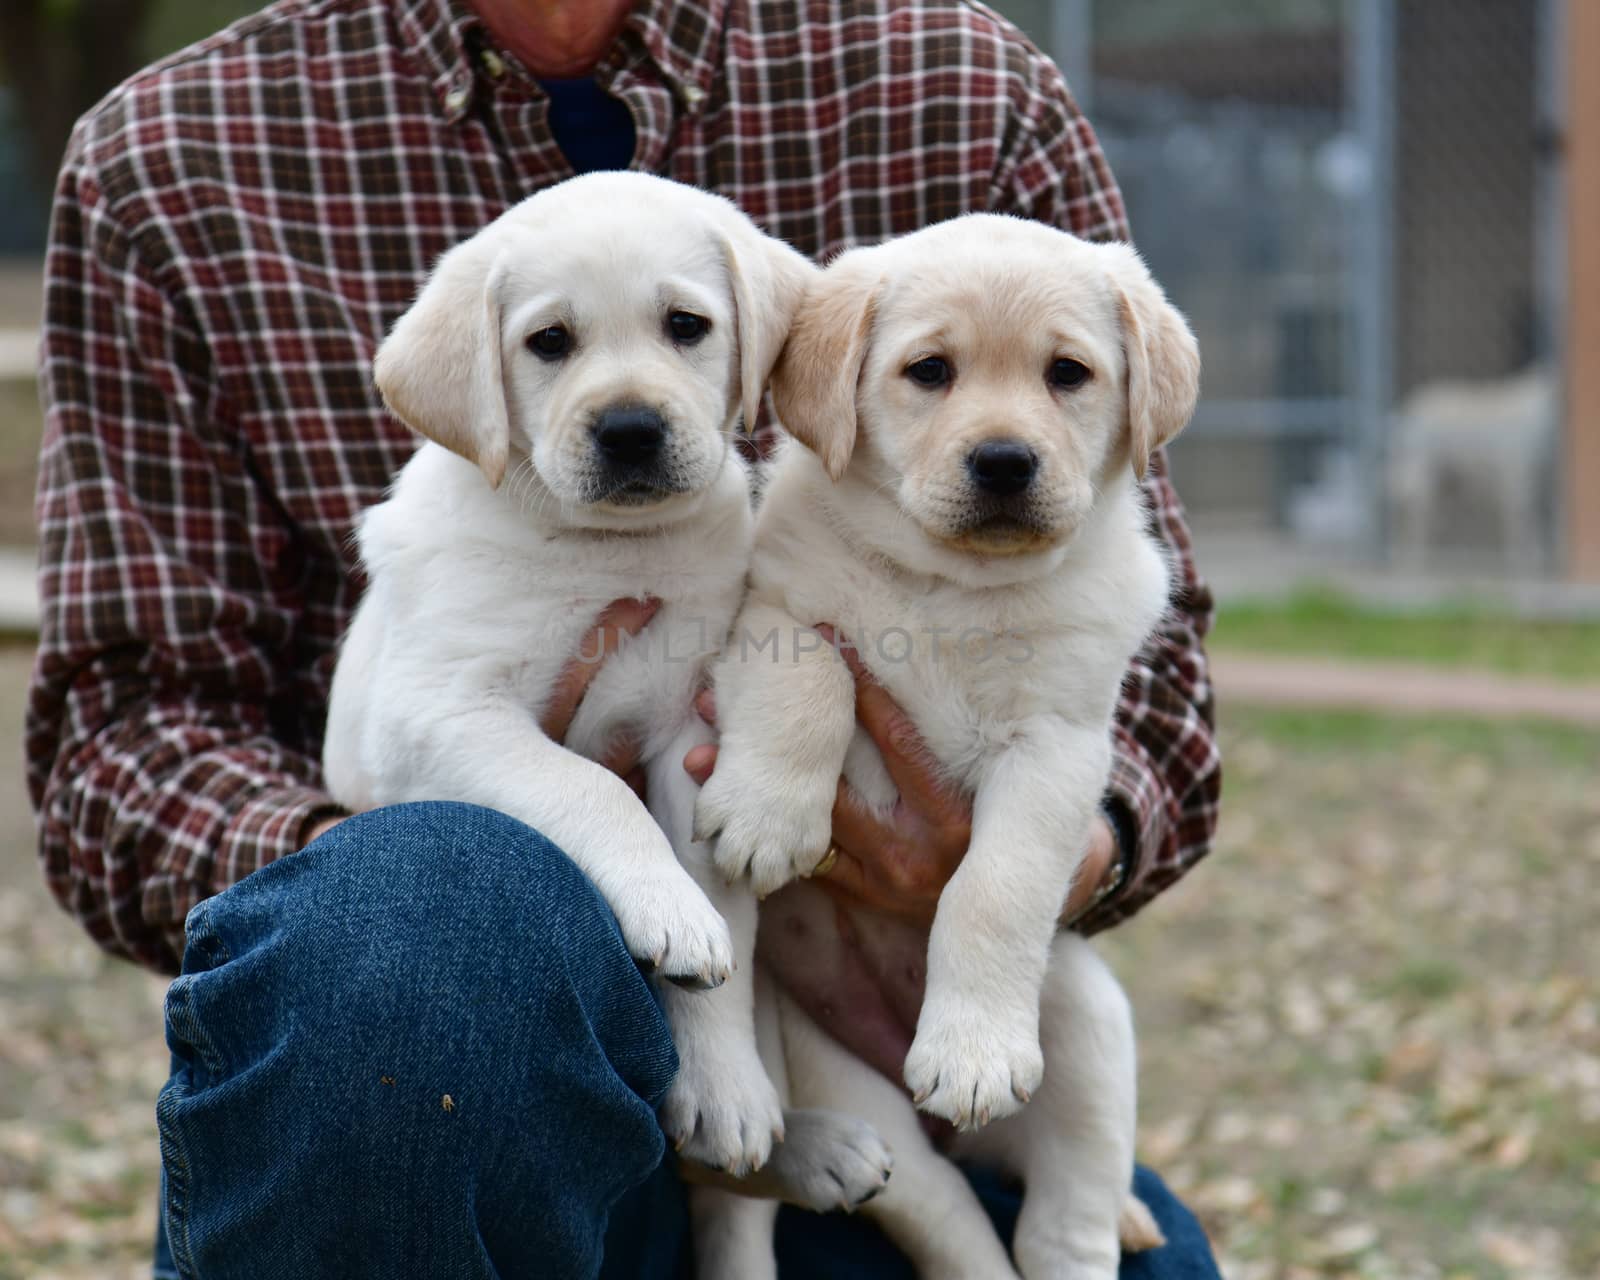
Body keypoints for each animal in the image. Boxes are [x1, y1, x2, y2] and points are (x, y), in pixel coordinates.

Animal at [694, 214, 1196, 1273]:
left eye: (1067, 373)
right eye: (929, 371)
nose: (1004, 460)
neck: (954, 589)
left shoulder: (1056, 747)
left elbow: (994, 887)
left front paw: (973, 1051)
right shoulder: (777, 616)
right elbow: (812, 683)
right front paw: (767, 817)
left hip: (1084, 1030)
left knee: (1067, 1217)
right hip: (858, 1104)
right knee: (956, 1226)